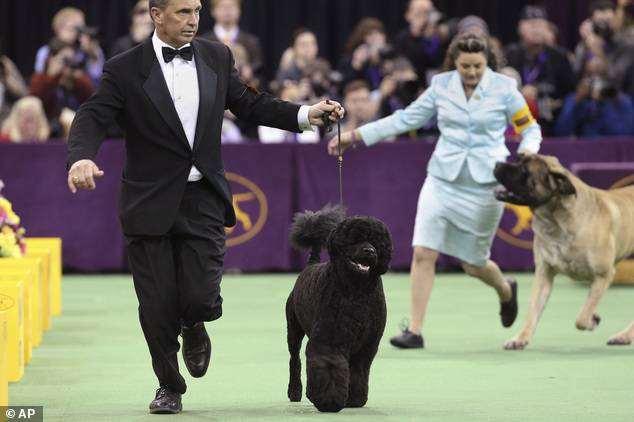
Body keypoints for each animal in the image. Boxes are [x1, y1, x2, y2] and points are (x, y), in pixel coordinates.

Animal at [286, 204, 390, 412]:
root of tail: (311, 265)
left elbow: (358, 372)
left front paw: (355, 400)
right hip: (293, 329)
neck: (358, 291)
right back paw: (295, 392)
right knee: (294, 359)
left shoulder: (366, 347)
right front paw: (329, 400)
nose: (370, 251)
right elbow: (330, 367)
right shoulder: (330, 340)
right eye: (354, 239)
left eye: (377, 242)